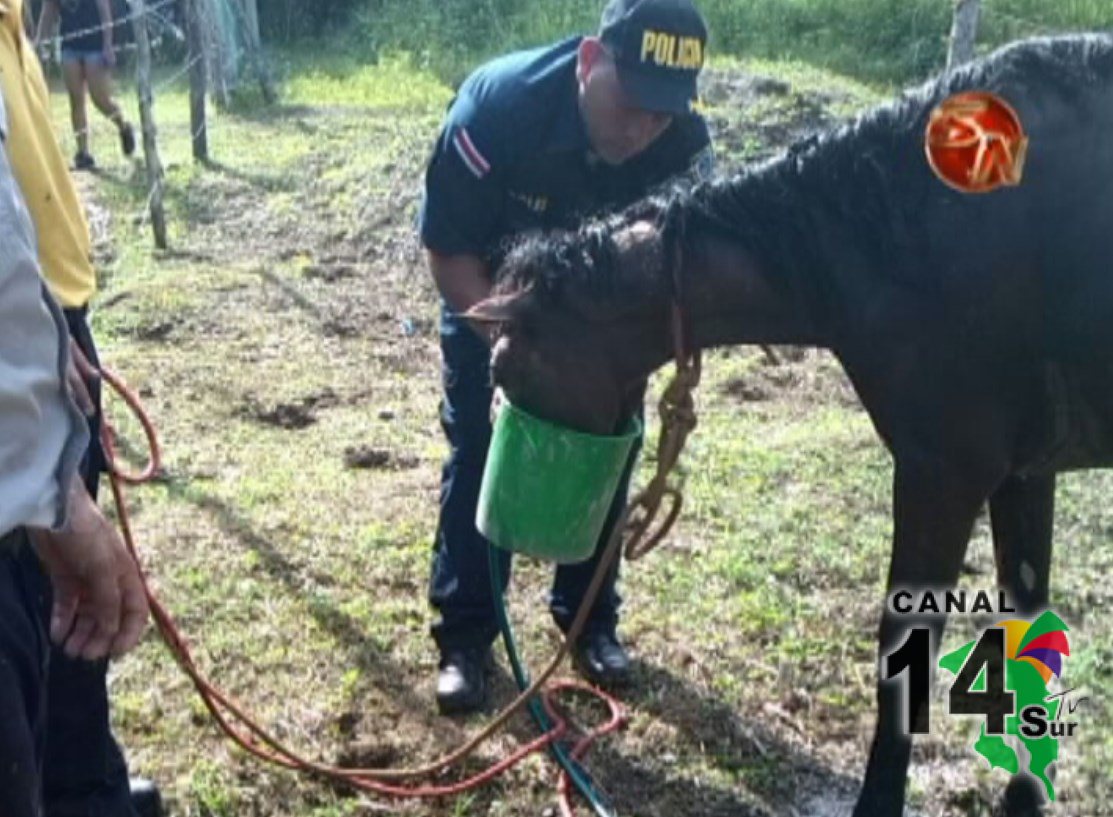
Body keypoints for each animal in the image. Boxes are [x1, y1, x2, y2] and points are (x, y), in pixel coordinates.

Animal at [467, 33, 1113, 817]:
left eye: (504, 366)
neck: (905, 226)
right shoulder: (1024, 471)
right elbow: (1029, 634)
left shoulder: (943, 473)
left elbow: (907, 646)